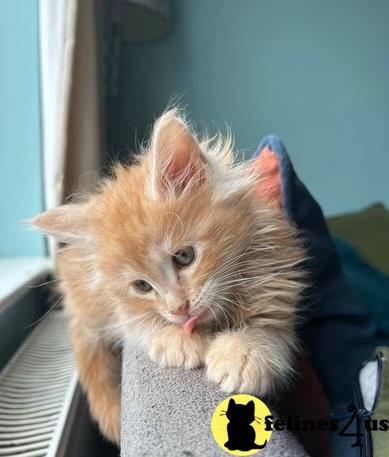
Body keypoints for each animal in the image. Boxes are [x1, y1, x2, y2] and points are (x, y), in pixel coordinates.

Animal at [30, 109, 304, 442]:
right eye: (141, 286)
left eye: (184, 257)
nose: (180, 309)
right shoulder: (117, 305)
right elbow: (137, 322)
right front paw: (177, 339)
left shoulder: (276, 270)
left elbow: (270, 323)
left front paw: (245, 352)